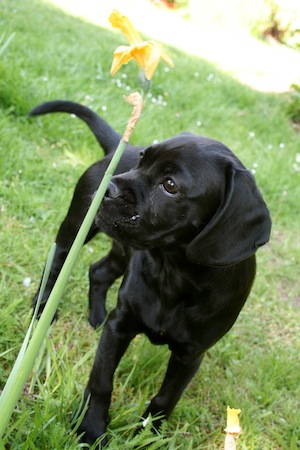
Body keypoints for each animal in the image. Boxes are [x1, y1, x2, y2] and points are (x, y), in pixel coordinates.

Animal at [29, 100, 272, 444]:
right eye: (143, 159)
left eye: (170, 186)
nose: (109, 186)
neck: (173, 276)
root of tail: (118, 147)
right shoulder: (120, 325)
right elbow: (101, 380)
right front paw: (91, 429)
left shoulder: (190, 355)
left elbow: (165, 399)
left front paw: (149, 436)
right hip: (78, 226)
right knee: (57, 261)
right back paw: (42, 309)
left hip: (122, 252)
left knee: (99, 272)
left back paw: (95, 317)